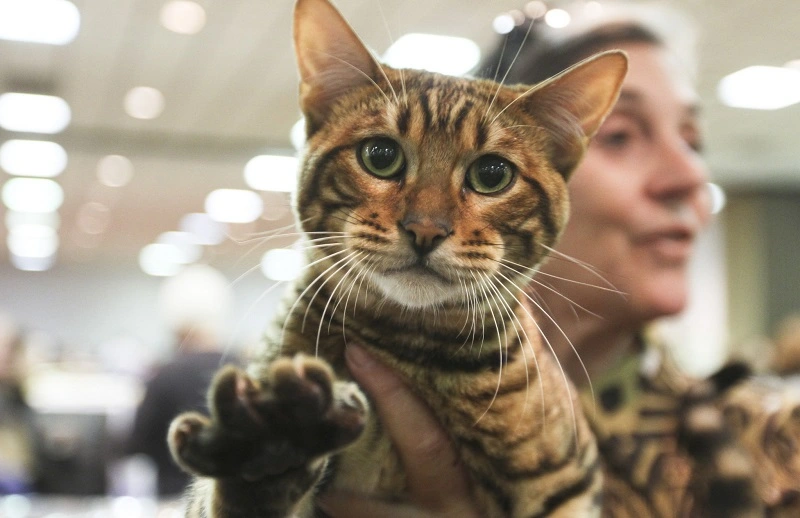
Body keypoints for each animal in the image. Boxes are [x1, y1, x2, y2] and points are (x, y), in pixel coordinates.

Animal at [166, 0, 628, 516]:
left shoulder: (569, 484)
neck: (409, 347)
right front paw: (271, 447)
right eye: (380, 155)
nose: (425, 228)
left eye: (492, 174)